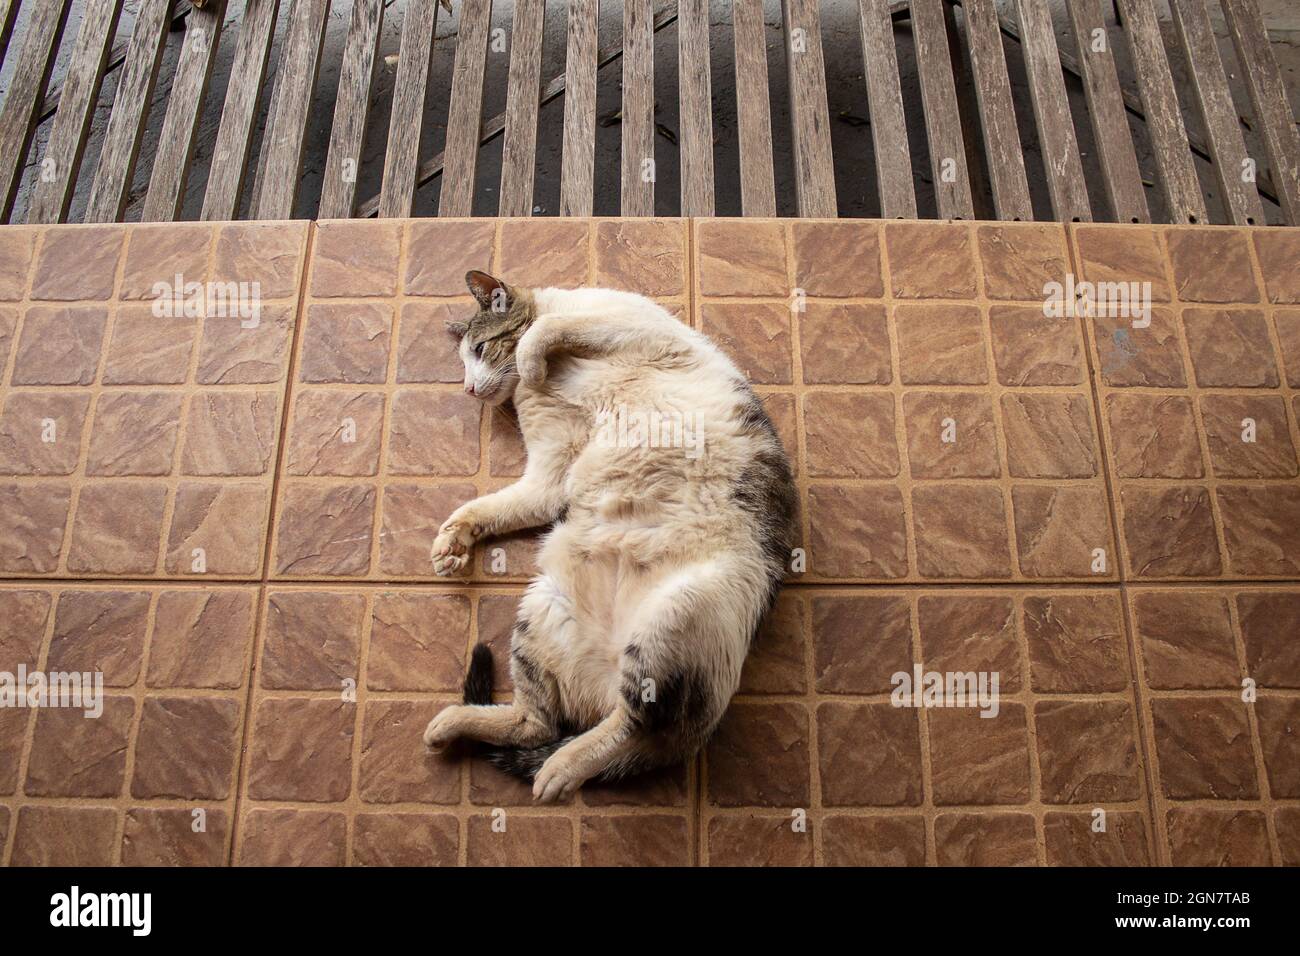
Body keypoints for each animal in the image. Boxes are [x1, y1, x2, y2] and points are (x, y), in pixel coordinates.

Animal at [421, 269, 795, 801]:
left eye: (479, 348)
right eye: (463, 360)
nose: (470, 388)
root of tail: (604, 674)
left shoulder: (635, 327)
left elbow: (547, 329)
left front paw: (529, 359)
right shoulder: (548, 478)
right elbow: (490, 507)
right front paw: (452, 543)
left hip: (671, 618)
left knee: (635, 729)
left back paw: (560, 770)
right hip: (542, 609)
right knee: (540, 724)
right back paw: (460, 725)